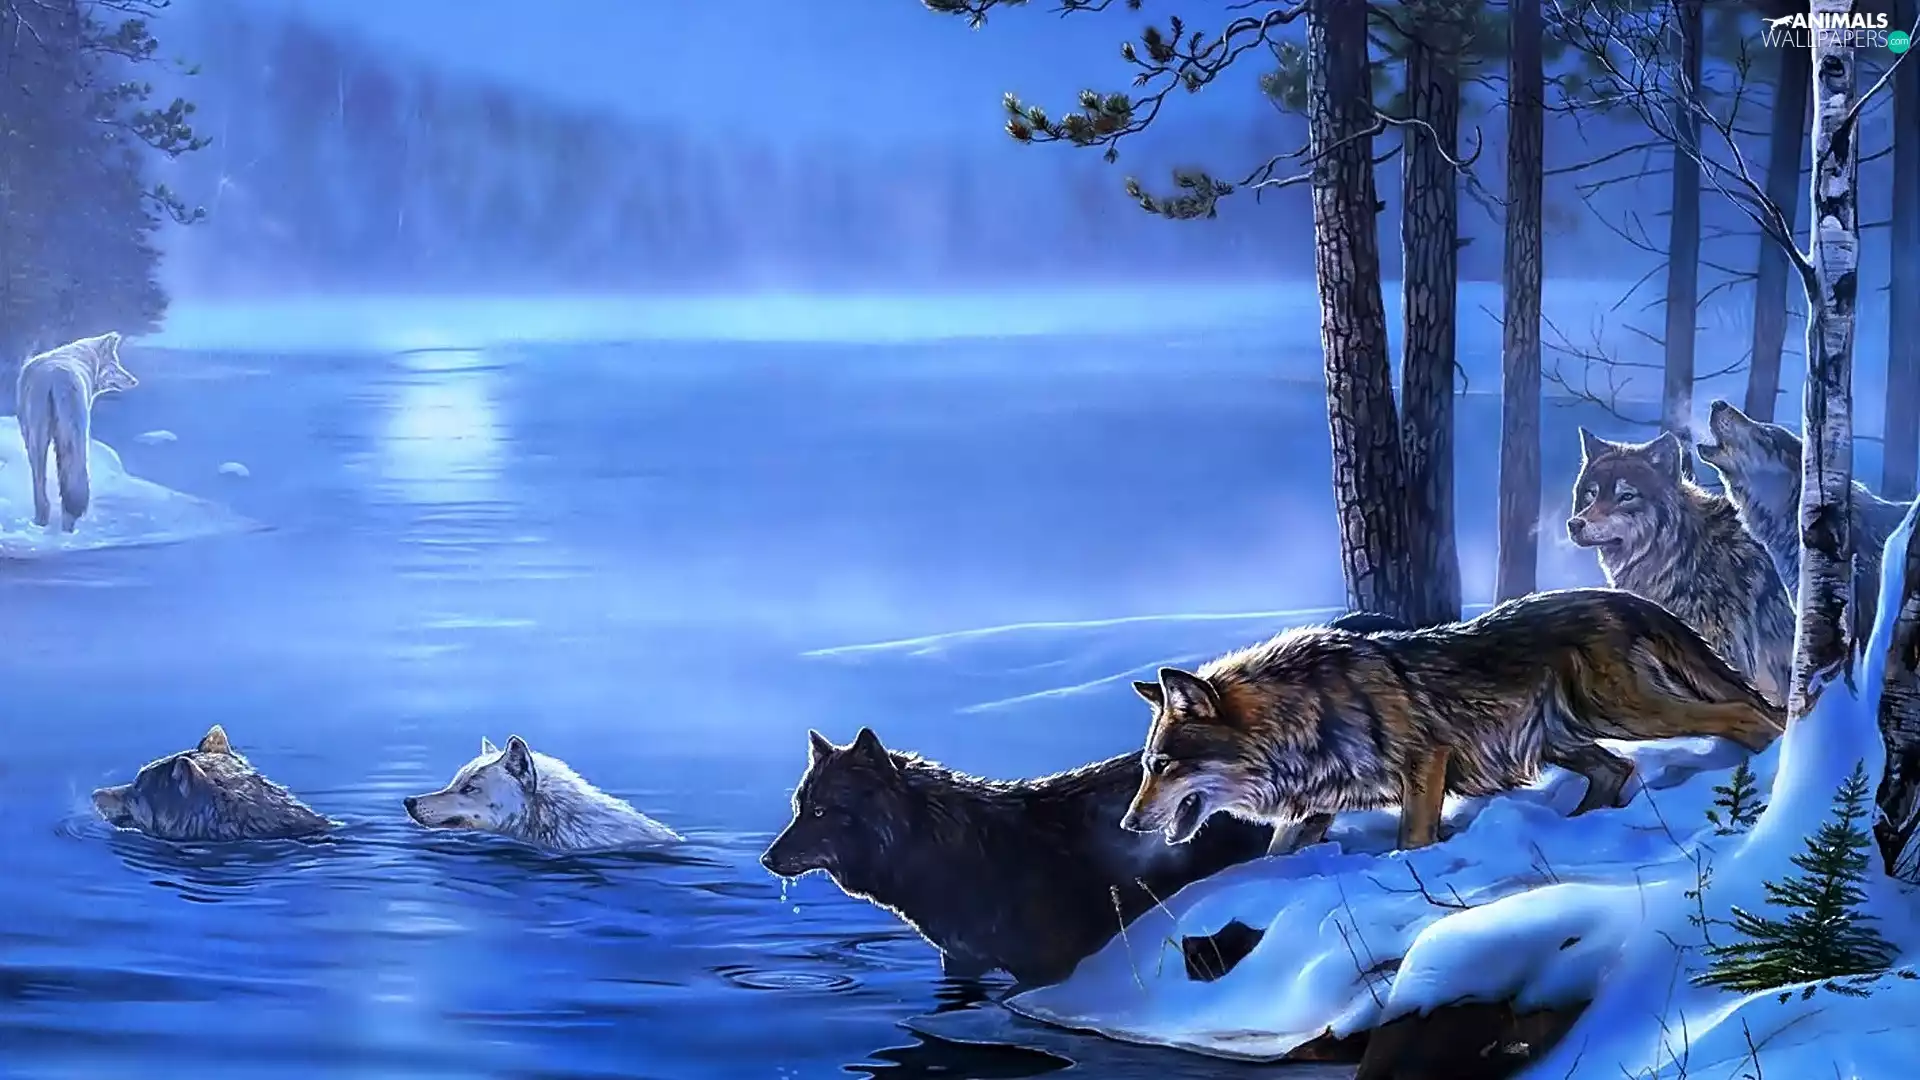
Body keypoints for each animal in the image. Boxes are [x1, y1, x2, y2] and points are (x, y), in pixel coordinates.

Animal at [17, 331, 137, 532]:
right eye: (115, 365)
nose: (135, 381)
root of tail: (57, 375)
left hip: (41, 441)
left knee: (46, 489)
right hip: (67, 438)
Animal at [1117, 588, 1784, 853]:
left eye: (1162, 765)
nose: (1127, 824)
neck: (1300, 720)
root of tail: (1621, 595)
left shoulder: (1425, 762)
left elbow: (1412, 839)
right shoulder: (1314, 810)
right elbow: (1274, 858)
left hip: (1627, 713)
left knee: (1745, 711)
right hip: (1564, 739)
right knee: (1615, 772)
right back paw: (1575, 825)